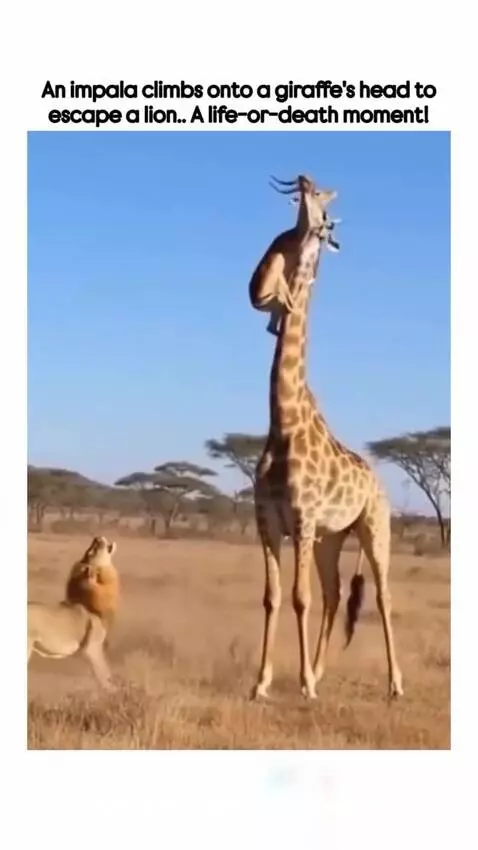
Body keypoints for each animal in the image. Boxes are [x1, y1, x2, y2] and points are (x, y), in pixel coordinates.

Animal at [248, 174, 403, 701]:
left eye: (316, 214)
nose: (302, 178)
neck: (283, 422)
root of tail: (379, 479)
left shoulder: (302, 518)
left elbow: (299, 598)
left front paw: (301, 686)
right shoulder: (269, 522)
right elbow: (273, 598)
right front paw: (263, 683)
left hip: (373, 526)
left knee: (383, 595)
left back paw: (395, 684)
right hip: (330, 539)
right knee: (336, 595)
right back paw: (316, 671)